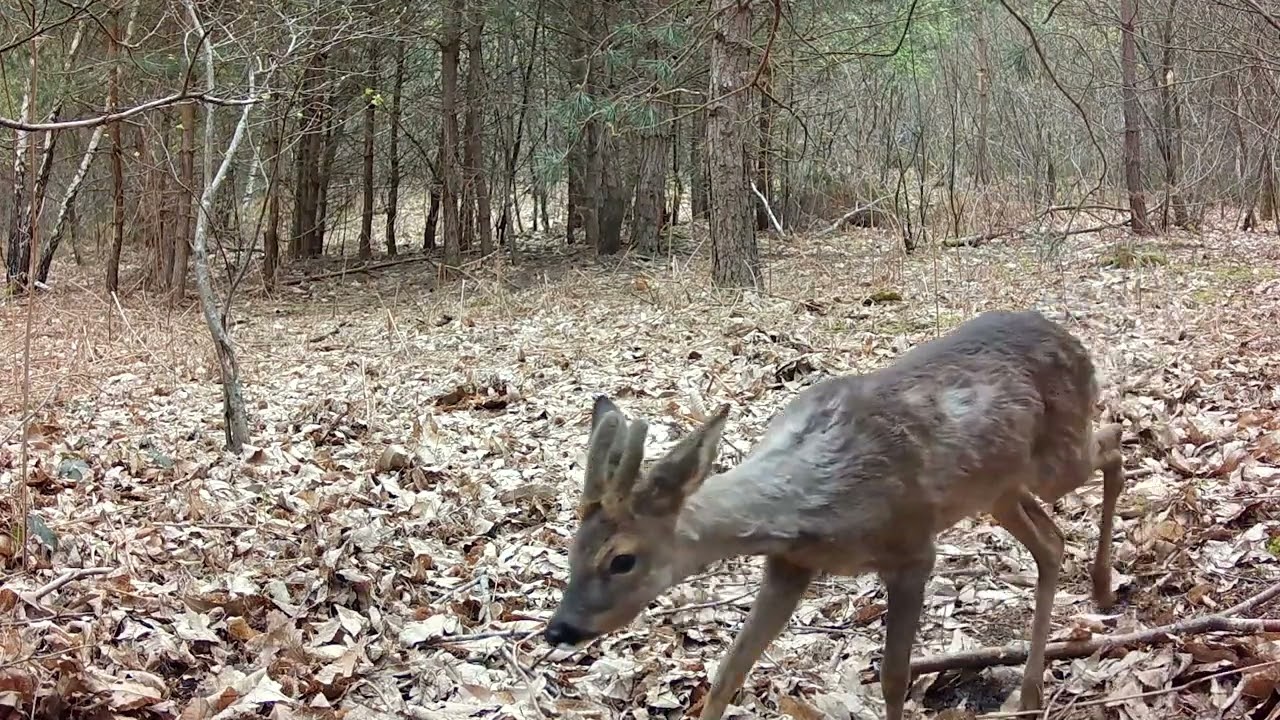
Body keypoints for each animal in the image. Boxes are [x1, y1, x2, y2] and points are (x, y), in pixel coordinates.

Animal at [543, 309, 1126, 720]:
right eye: (570, 550)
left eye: (621, 560)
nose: (558, 629)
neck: (816, 500)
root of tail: (1076, 343)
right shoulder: (789, 564)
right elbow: (729, 671)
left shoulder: (913, 548)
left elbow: (894, 678)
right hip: (996, 490)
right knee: (1051, 541)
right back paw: (1032, 689)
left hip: (1055, 459)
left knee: (1114, 441)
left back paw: (1101, 586)